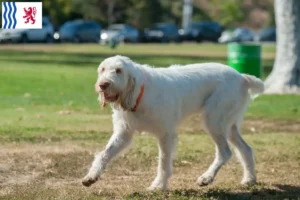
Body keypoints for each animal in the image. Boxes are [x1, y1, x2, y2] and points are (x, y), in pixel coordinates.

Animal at [82, 55, 264, 190]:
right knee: (246, 149)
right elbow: (105, 153)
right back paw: (249, 179)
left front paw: (159, 186)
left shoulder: (166, 135)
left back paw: (206, 177)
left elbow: (163, 161)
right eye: (102, 69)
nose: (102, 85)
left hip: (213, 121)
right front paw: (91, 176)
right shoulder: (123, 134)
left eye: (119, 70)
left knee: (225, 152)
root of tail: (241, 77)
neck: (139, 94)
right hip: (229, 126)